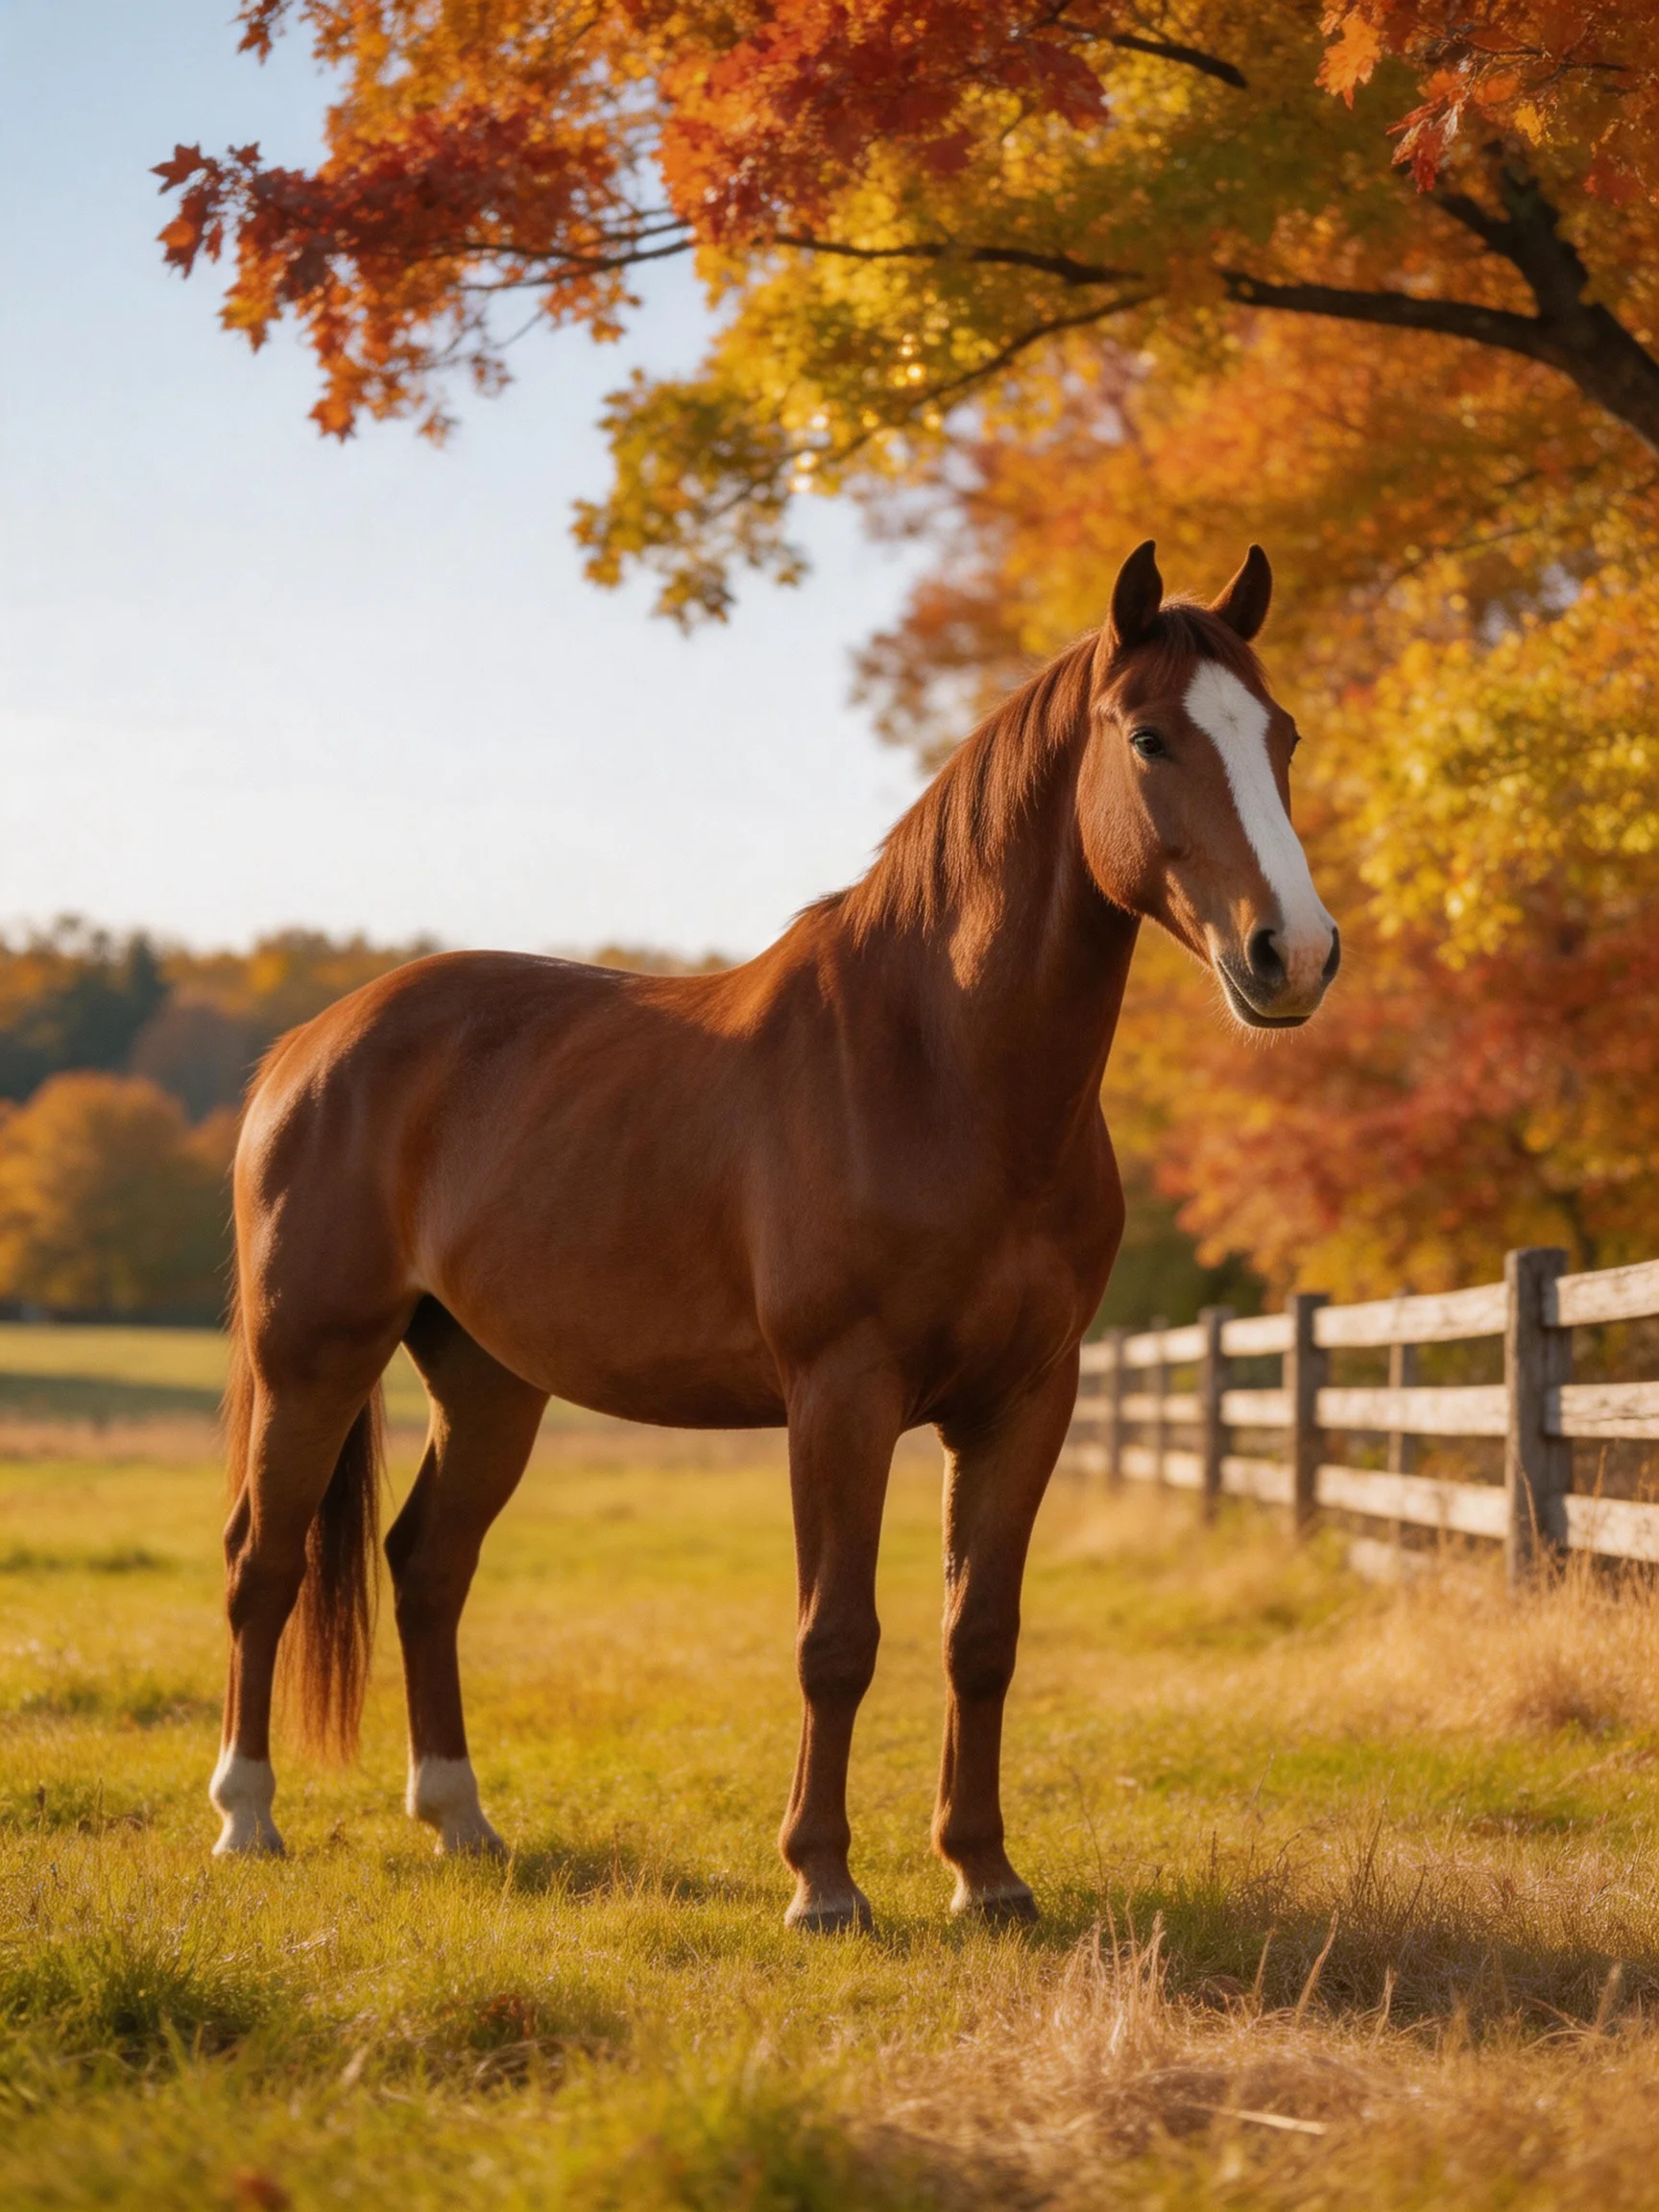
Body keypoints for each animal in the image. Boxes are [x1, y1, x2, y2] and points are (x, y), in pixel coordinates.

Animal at [209, 538, 1338, 1929]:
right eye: (1149, 736)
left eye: (1281, 733)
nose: (1295, 954)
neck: (940, 1071)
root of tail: (307, 1048)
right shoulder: (840, 1396)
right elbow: (835, 1637)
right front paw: (823, 1883)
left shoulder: (1027, 1400)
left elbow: (982, 1635)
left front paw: (986, 1876)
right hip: (313, 1357)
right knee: (263, 1564)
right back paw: (247, 1818)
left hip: (487, 1382)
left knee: (427, 1565)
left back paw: (460, 1821)